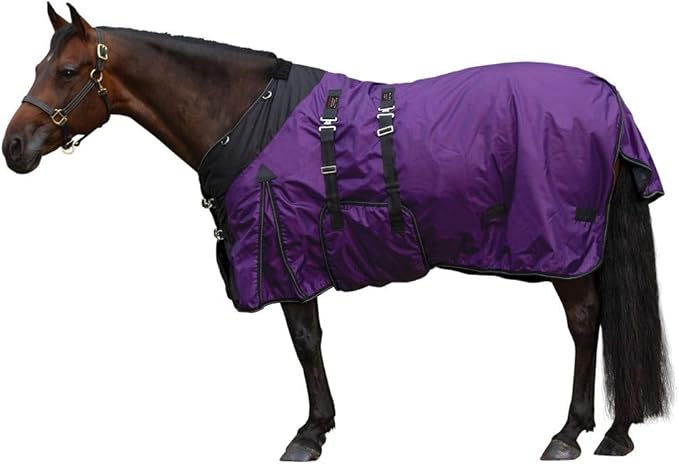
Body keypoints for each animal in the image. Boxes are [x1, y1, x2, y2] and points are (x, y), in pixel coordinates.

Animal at [2, 4, 672, 461]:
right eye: (38, 66)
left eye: (68, 70)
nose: (14, 148)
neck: (246, 118)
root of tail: (611, 101)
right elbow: (312, 341)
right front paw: (319, 425)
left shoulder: (286, 254)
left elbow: (305, 341)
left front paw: (310, 432)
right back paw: (614, 430)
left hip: (565, 251)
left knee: (586, 322)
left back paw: (572, 431)